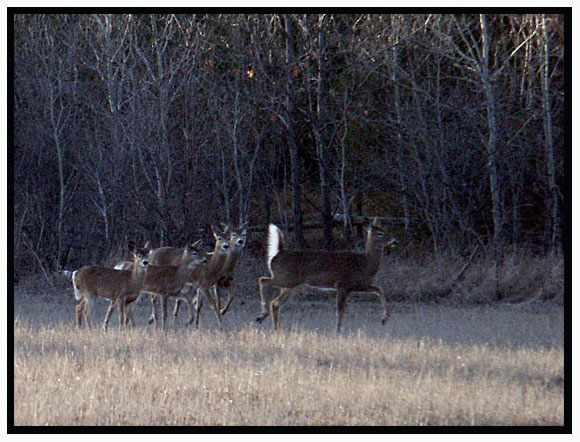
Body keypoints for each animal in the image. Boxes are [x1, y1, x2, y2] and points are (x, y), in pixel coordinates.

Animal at [256, 216, 396, 334]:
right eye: (380, 233)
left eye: (386, 230)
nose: (395, 241)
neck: (365, 264)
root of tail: (278, 253)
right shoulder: (343, 284)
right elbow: (340, 310)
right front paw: (337, 332)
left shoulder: (359, 285)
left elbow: (378, 289)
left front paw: (384, 318)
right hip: (285, 279)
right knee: (263, 280)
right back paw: (262, 314)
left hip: (291, 286)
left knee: (275, 303)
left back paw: (275, 328)